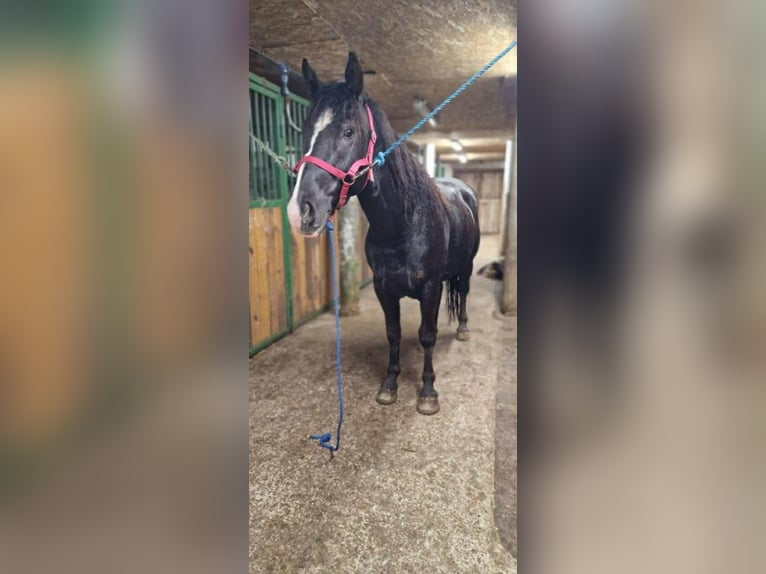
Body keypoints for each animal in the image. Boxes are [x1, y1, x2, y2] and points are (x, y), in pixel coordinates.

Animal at [287, 52, 480, 415]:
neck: (402, 227)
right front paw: (389, 386)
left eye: (349, 132)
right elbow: (394, 333)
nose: (300, 211)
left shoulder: (430, 288)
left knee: (462, 294)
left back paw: (462, 329)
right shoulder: (383, 289)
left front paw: (428, 393)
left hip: (466, 267)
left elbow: (428, 334)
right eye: (305, 130)